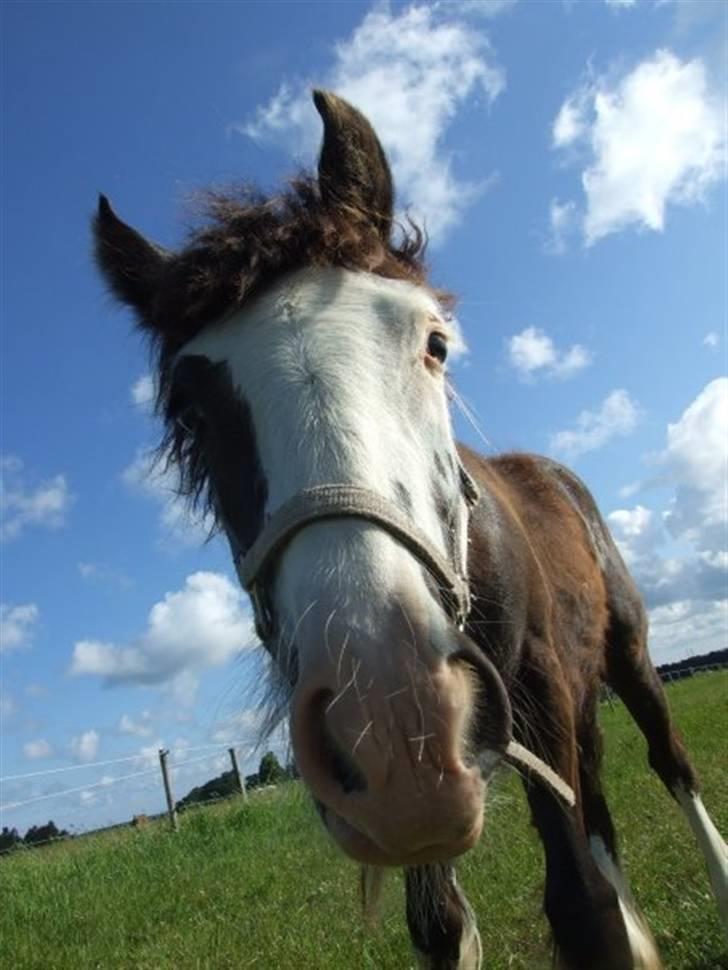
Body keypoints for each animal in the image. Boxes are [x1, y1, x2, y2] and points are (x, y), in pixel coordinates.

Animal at [93, 90, 726, 969]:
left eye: (435, 343)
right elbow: (443, 926)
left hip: (628, 654)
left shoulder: (534, 695)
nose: (390, 715)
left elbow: (582, 906)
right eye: (190, 411)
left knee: (673, 766)